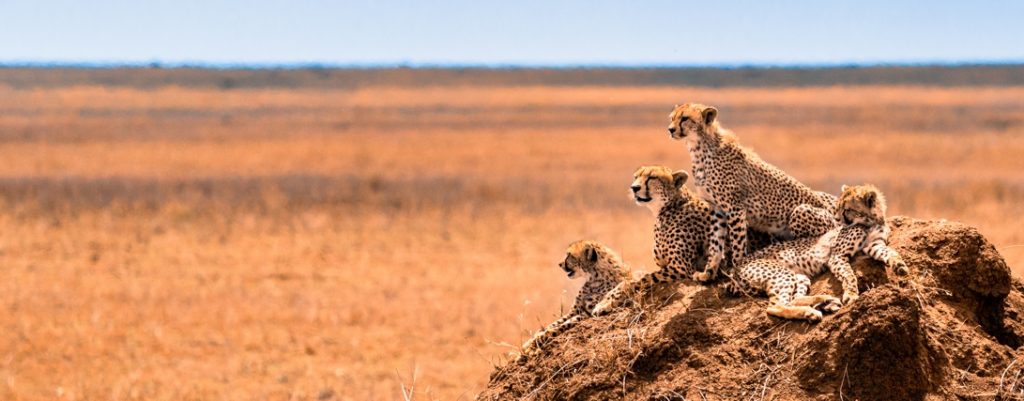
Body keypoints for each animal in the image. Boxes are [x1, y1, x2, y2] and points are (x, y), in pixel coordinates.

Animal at [585, 165, 720, 317]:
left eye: (652, 177)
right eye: (636, 176)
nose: (634, 187)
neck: (669, 207)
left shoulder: (681, 268)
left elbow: (637, 280)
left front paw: (606, 303)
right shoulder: (664, 265)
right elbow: (630, 278)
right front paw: (604, 301)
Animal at [663, 103, 839, 270]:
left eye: (685, 118)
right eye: (672, 118)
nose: (670, 129)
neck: (699, 148)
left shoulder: (734, 208)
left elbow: (738, 243)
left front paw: (737, 268)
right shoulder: (717, 208)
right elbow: (716, 242)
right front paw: (709, 271)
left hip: (800, 212)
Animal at [724, 183, 909, 321]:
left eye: (847, 209)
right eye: (839, 207)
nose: (838, 220)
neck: (870, 221)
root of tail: (735, 267)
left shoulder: (874, 245)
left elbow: (890, 253)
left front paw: (900, 265)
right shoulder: (837, 256)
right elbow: (849, 274)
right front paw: (851, 294)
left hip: (799, 276)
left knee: (793, 299)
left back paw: (824, 301)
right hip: (781, 274)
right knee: (775, 306)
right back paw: (811, 311)